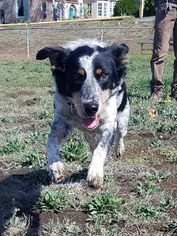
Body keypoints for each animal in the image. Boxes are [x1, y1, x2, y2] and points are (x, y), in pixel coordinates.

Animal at [36, 39, 130, 189]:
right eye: (76, 76)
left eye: (103, 74)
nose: (91, 108)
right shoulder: (62, 122)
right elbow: (51, 140)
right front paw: (55, 167)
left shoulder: (109, 124)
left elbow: (101, 149)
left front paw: (95, 172)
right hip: (88, 134)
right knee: (93, 143)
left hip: (123, 117)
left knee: (120, 135)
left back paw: (119, 149)